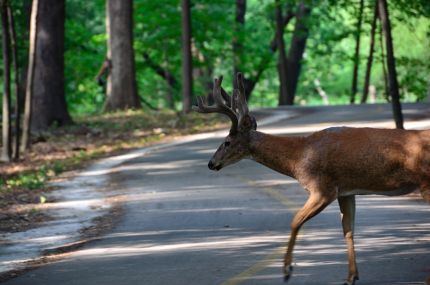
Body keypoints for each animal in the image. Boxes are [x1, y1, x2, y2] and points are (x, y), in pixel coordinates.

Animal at [193, 72, 430, 284]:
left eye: (227, 142)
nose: (211, 163)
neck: (299, 157)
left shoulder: (322, 188)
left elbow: (295, 221)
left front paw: (287, 270)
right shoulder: (345, 191)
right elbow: (348, 230)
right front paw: (351, 277)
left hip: (426, 182)